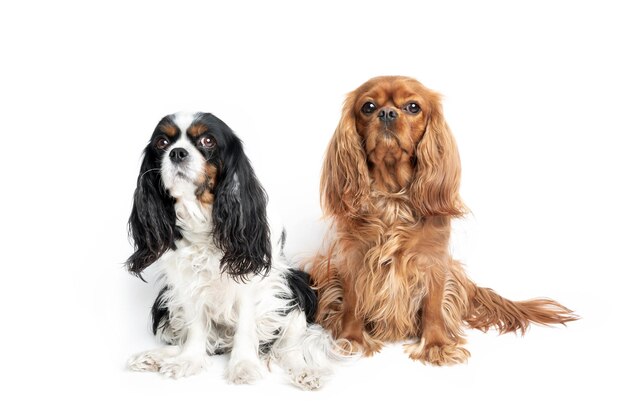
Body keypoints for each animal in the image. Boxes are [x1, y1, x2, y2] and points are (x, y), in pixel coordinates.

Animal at [123, 112, 334, 388]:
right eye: (162, 143)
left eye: (208, 140)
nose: (177, 152)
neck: (203, 218)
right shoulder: (186, 283)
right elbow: (195, 328)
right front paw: (187, 361)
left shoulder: (252, 283)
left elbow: (246, 327)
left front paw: (243, 365)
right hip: (164, 302)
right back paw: (155, 356)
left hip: (298, 286)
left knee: (289, 347)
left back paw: (305, 372)